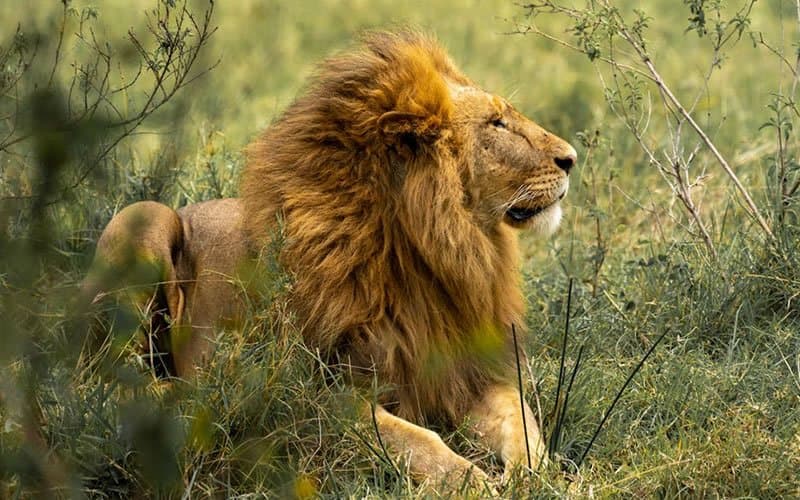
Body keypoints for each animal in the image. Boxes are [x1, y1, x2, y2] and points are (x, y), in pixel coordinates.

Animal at [83, 30, 576, 490]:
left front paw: (535, 476)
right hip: (144, 218)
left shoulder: (470, 372)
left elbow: (522, 422)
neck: (435, 253)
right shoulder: (313, 392)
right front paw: (470, 480)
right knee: (103, 379)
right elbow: (414, 438)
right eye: (497, 124)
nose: (571, 158)